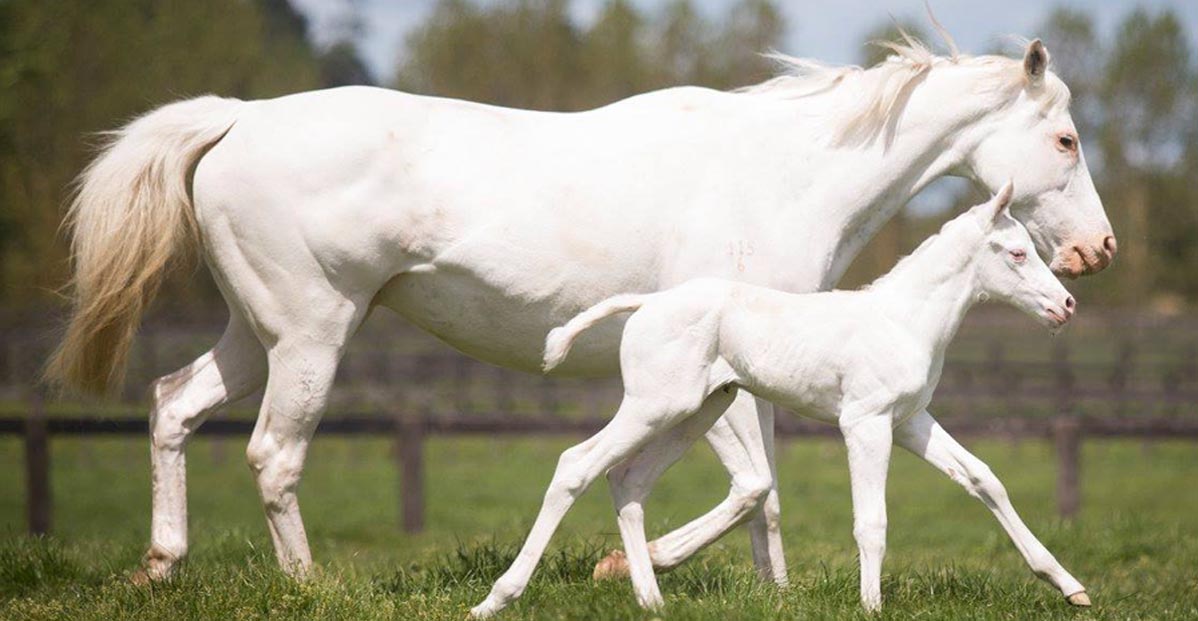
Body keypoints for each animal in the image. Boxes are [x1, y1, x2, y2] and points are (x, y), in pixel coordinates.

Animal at [467, 181, 1087, 618]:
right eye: (1016, 253)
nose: (1066, 306)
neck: (903, 318)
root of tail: (646, 304)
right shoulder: (864, 423)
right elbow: (871, 520)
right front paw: (871, 607)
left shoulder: (910, 421)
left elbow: (984, 478)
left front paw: (1070, 587)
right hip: (654, 406)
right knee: (576, 465)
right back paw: (497, 598)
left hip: (695, 412)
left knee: (628, 482)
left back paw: (652, 601)